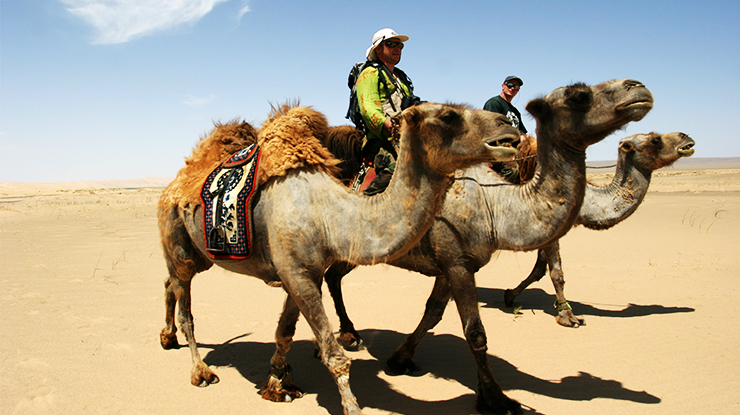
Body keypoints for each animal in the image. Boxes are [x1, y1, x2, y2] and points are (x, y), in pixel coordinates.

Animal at [157, 103, 519, 415]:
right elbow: (334, 355)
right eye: (448, 115)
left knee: (169, 283)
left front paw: (277, 384)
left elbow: (285, 331)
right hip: (175, 238)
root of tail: (174, 182)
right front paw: (351, 406)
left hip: (198, 254)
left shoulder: (302, 273)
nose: (508, 127)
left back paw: (167, 337)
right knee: (184, 300)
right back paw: (200, 370)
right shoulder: (298, 274)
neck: (329, 213)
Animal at [322, 79, 654, 414]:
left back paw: (349, 334)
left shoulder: (452, 264)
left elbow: (433, 314)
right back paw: (349, 335)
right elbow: (476, 333)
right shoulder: (457, 263)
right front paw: (496, 398)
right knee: (330, 276)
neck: (494, 204)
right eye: (579, 95)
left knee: (333, 276)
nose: (637, 87)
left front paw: (401, 357)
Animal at [503, 131, 696, 327]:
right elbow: (556, 273)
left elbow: (540, 270)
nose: (685, 137)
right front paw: (567, 316)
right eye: (655, 140)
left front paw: (510, 295)